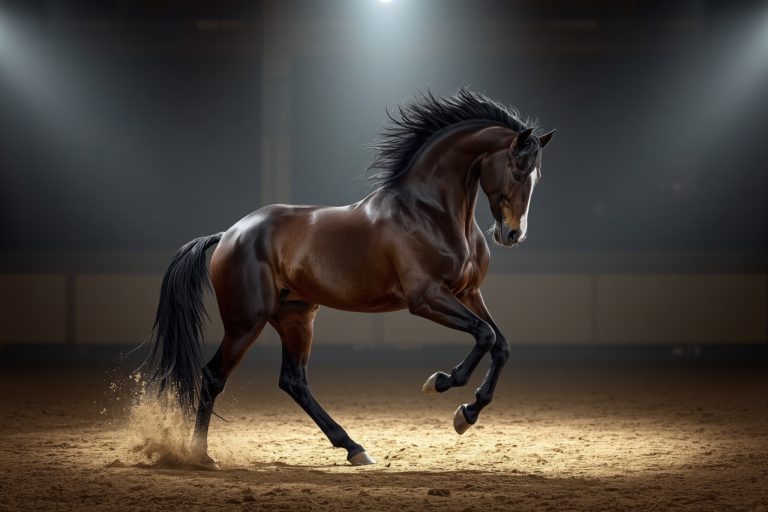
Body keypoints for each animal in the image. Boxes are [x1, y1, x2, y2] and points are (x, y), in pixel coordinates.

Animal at [144, 89, 554, 468]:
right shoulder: (426, 298)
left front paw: (466, 414)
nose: (512, 234)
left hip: (295, 316)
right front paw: (440, 382)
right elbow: (484, 336)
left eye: (537, 176)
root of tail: (230, 233)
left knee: (293, 380)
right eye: (517, 171)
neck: (431, 212)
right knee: (215, 375)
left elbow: (500, 344)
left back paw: (354, 448)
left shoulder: (469, 293)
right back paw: (201, 455)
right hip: (246, 321)